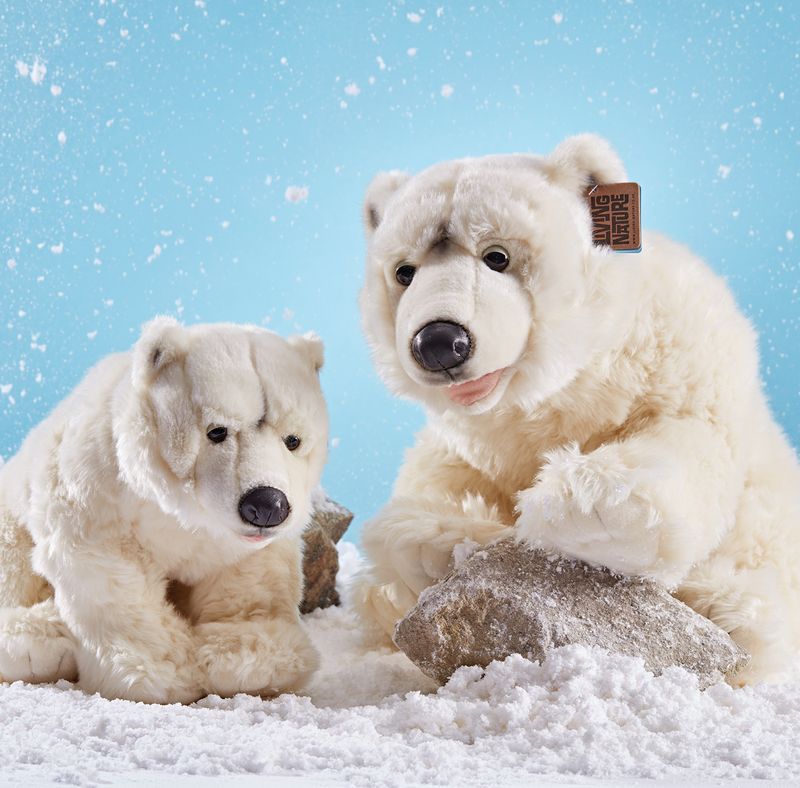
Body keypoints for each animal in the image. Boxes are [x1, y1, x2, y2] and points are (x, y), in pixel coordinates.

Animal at [0, 317, 328, 703]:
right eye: (217, 431)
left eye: (293, 440)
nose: (266, 505)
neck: (181, 512)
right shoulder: (99, 490)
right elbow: (114, 576)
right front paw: (163, 672)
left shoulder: (236, 543)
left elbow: (250, 579)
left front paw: (250, 661)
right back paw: (38, 639)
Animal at [355, 134, 800, 685]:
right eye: (404, 272)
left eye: (497, 256)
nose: (438, 343)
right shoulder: (474, 439)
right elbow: (437, 475)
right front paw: (435, 539)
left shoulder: (680, 358)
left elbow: (689, 440)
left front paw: (590, 507)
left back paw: (724, 607)